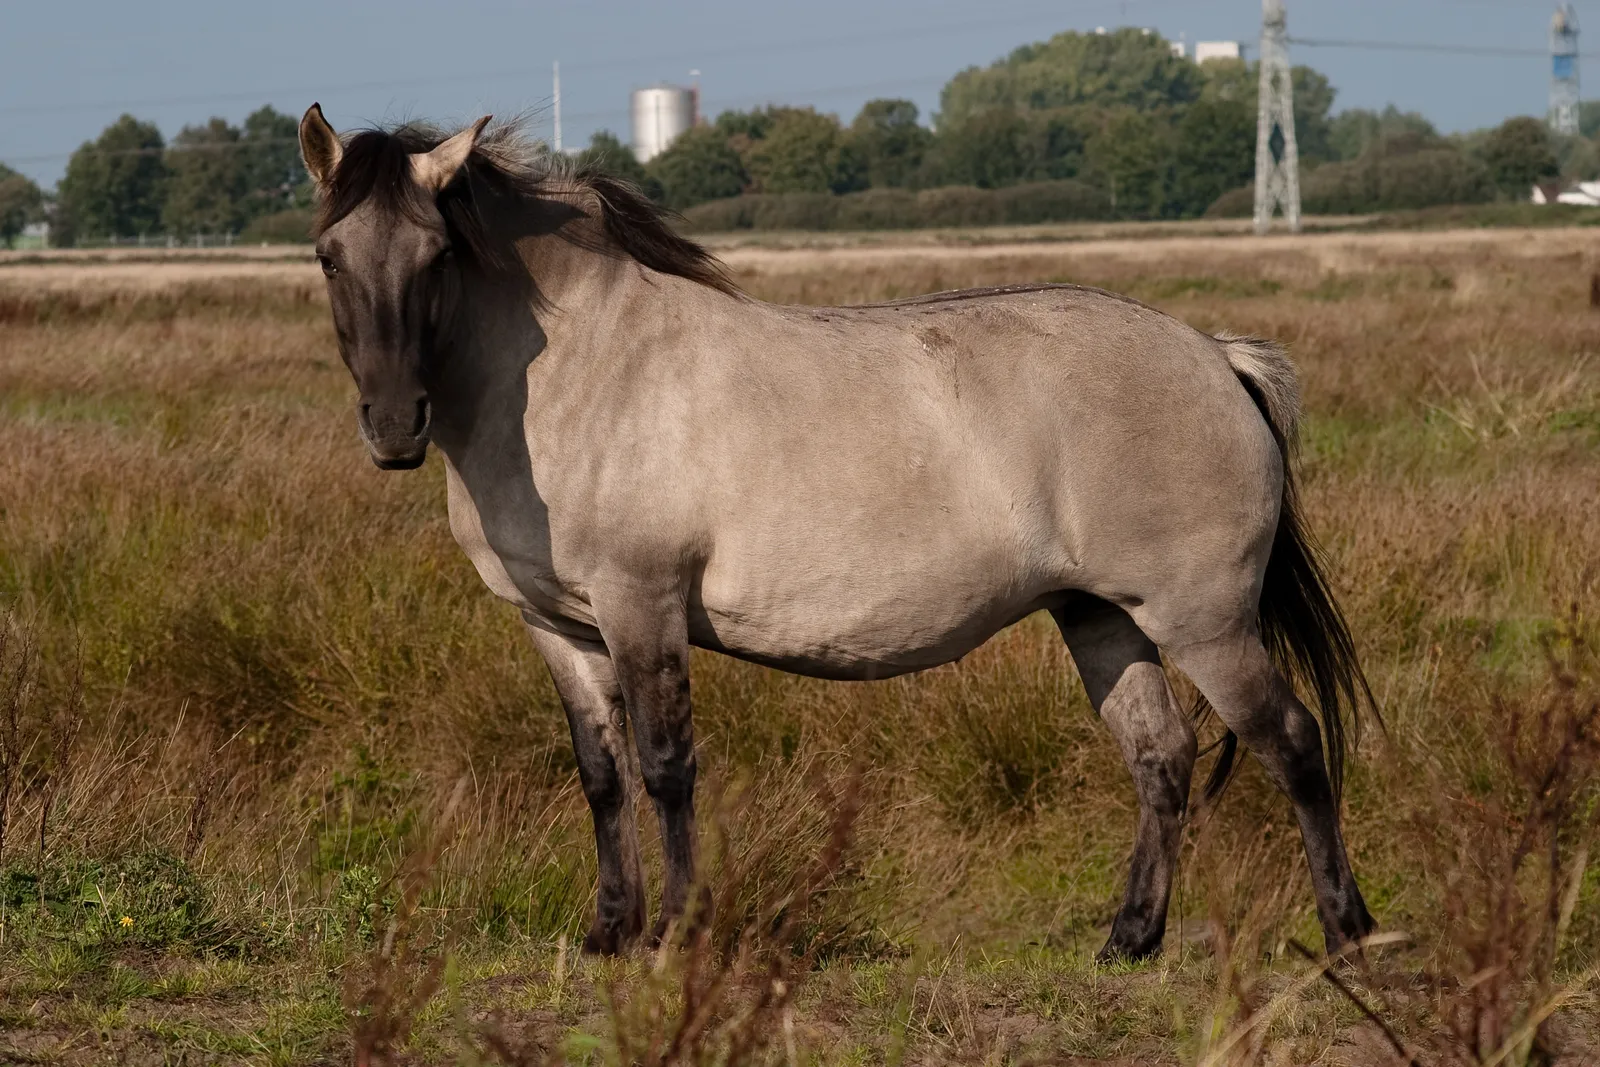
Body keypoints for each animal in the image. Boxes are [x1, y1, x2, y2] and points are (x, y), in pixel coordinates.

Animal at [296, 105, 1376, 960]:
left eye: (438, 254)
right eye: (329, 257)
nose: (394, 427)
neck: (580, 370)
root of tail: (1215, 354)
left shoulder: (642, 605)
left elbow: (665, 767)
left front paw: (676, 933)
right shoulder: (558, 625)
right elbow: (602, 776)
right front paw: (609, 931)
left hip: (1204, 620)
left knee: (1291, 742)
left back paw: (1347, 932)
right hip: (1100, 616)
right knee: (1161, 758)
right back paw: (1128, 940)